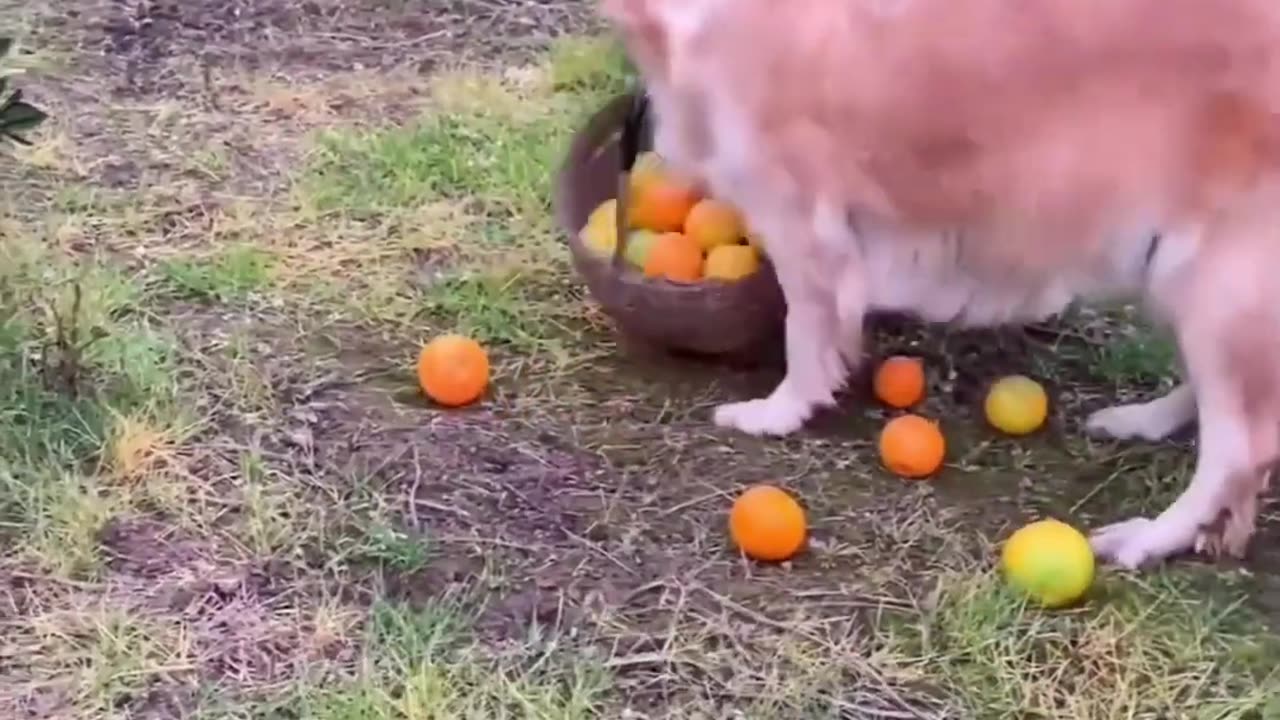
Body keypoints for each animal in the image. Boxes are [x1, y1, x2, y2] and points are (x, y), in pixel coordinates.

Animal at [601, 0, 1280, 566]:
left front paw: (779, 412)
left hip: (1216, 283)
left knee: (1240, 450)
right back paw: (1143, 422)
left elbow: (806, 334)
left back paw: (1150, 538)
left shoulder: (803, 221)